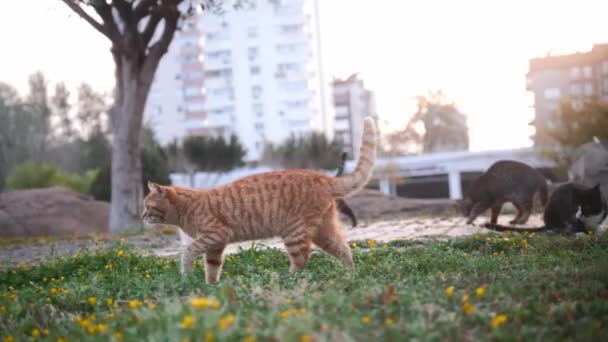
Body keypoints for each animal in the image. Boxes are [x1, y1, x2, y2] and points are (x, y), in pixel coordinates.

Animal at [143, 117, 378, 284]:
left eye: (147, 206)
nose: (142, 216)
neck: (185, 211)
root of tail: (323, 177)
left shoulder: (215, 235)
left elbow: (187, 252)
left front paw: (187, 275)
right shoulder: (215, 246)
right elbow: (212, 268)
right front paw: (211, 287)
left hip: (294, 233)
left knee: (302, 259)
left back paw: (288, 280)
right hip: (323, 231)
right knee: (344, 249)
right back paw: (351, 275)